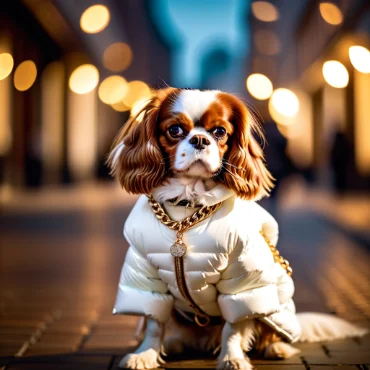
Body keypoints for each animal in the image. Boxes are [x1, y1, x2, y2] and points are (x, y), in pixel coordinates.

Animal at [107, 88, 368, 368]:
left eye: (220, 131)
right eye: (175, 130)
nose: (200, 139)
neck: (188, 212)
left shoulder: (242, 280)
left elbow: (234, 326)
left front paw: (232, 358)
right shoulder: (146, 274)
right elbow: (154, 322)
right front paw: (145, 354)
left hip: (274, 305)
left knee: (269, 329)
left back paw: (276, 348)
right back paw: (174, 343)